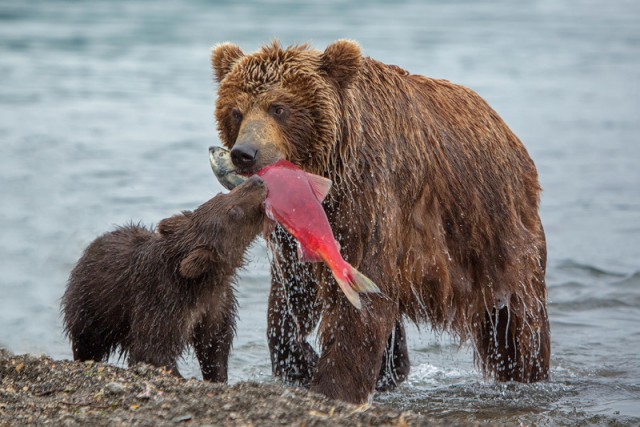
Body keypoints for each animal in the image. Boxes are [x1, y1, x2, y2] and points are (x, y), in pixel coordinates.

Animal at [211, 40, 552, 404]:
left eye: (279, 108)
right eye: (236, 111)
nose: (245, 153)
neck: (330, 171)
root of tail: (506, 130)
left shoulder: (369, 198)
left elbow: (359, 300)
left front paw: (334, 384)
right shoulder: (297, 233)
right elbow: (292, 295)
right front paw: (302, 362)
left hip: (493, 232)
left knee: (517, 321)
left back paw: (526, 372)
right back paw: (392, 370)